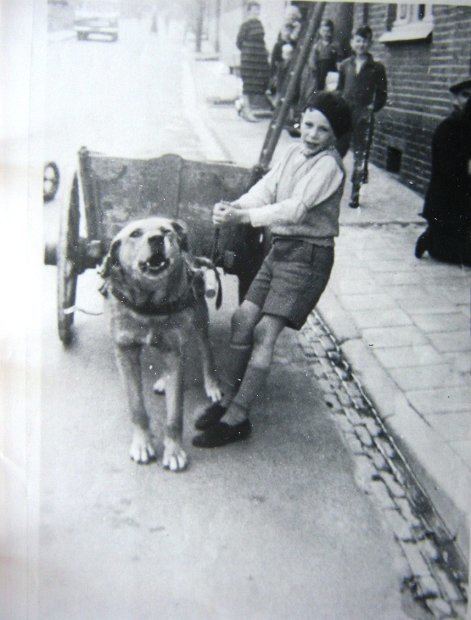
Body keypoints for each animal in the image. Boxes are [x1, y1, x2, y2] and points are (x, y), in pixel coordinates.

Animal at [99, 217, 221, 470]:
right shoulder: (125, 352)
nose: (157, 238)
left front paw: (173, 451)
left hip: (199, 318)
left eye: (166, 231)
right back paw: (164, 381)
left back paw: (211, 383)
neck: (149, 304)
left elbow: (175, 414)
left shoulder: (173, 350)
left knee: (206, 349)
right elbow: (136, 407)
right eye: (135, 234)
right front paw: (142, 444)